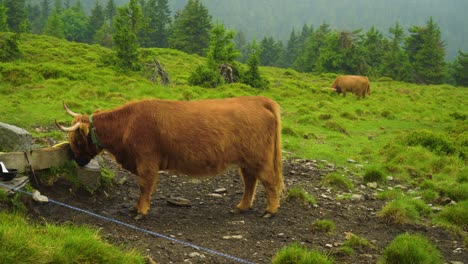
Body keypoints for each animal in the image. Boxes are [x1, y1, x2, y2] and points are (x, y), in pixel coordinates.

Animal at [54, 96, 284, 219]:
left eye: (77, 138)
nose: (76, 159)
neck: (127, 124)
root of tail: (257, 100)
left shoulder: (147, 161)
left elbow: (144, 186)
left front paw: (141, 210)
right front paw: (136, 207)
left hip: (260, 158)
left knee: (269, 181)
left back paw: (270, 211)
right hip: (247, 161)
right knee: (250, 182)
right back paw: (242, 207)